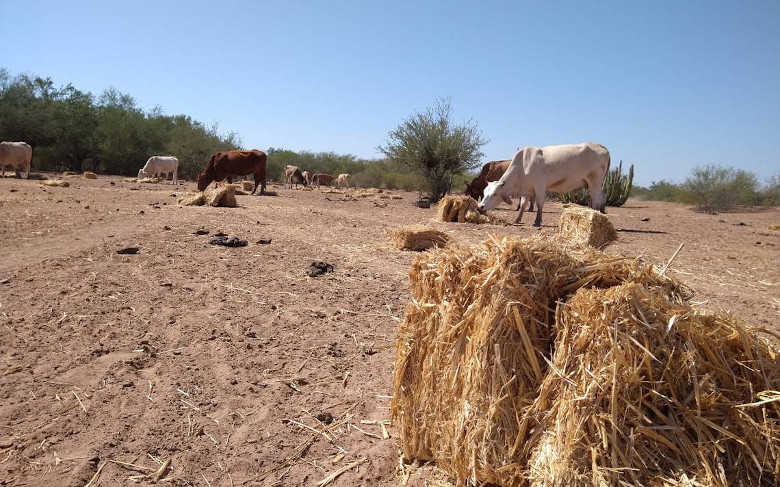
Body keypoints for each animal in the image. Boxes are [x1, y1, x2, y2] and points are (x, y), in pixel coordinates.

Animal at [478, 141, 612, 225]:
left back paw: (594, 214)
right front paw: (517, 219)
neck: (523, 165)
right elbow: (523, 205)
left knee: (596, 198)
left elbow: (539, 203)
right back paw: (601, 213)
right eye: (484, 193)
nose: (480, 206)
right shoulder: (528, 189)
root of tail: (600, 145)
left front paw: (537, 221)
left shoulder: (540, 185)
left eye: (494, 194)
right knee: (602, 196)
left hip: (594, 181)